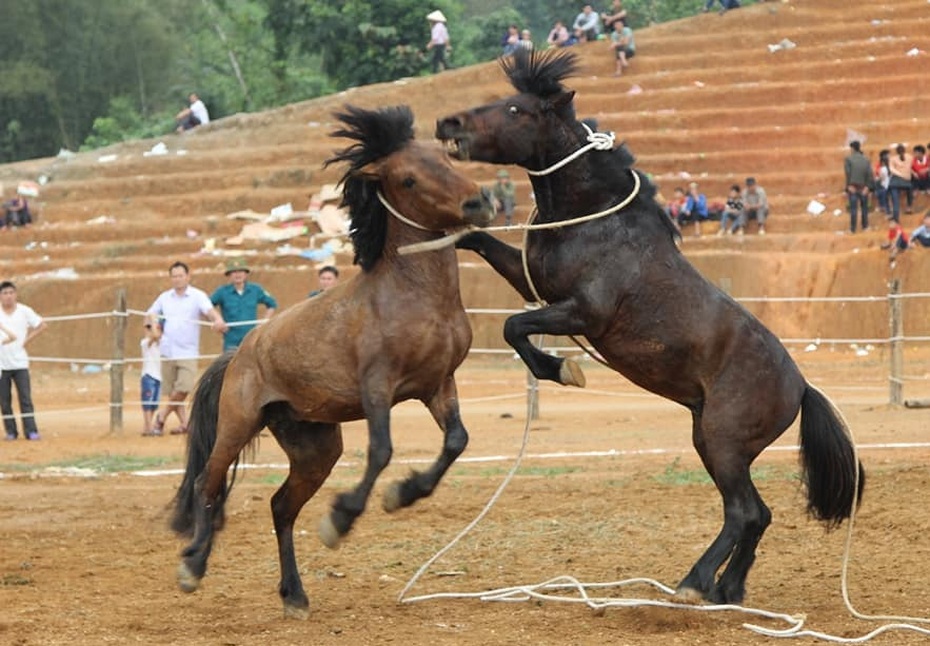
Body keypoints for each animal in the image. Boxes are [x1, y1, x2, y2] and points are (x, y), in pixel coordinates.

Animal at [171, 106, 496, 624]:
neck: (414, 298)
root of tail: (239, 352)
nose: (478, 202)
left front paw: (402, 494)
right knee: (209, 482)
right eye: (407, 178)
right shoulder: (378, 387)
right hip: (238, 423)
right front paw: (341, 519)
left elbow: (457, 441)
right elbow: (381, 450)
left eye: (444, 157)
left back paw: (294, 595)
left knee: (281, 506)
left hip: (314, 446)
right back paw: (193, 567)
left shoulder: (437, 385)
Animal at [436, 50, 864, 608]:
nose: (448, 123)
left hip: (723, 441)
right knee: (758, 514)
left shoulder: (582, 311)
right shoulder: (536, 282)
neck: (592, 219)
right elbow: (483, 246)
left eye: (514, 108)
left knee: (744, 511)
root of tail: (801, 386)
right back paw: (727, 589)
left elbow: (514, 327)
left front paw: (562, 369)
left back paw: (694, 584)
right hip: (713, 442)